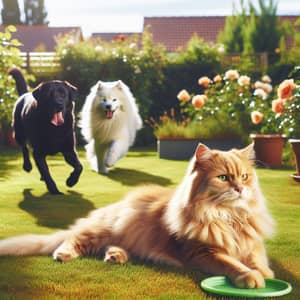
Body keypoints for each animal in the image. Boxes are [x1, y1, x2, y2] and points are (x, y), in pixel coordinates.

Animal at [0, 144, 274, 290]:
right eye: (224, 178)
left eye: (245, 177)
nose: (240, 188)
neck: (228, 217)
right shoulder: (201, 252)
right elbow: (231, 263)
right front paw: (251, 277)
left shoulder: (252, 244)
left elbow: (259, 261)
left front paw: (264, 274)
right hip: (104, 229)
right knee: (74, 239)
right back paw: (64, 254)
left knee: (109, 246)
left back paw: (115, 257)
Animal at [8, 67, 82, 195]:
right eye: (49, 95)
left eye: (63, 94)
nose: (59, 104)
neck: (54, 129)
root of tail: (25, 94)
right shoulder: (38, 152)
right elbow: (46, 172)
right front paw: (54, 190)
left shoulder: (69, 150)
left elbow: (79, 167)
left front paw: (71, 181)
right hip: (18, 133)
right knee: (24, 147)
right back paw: (27, 166)